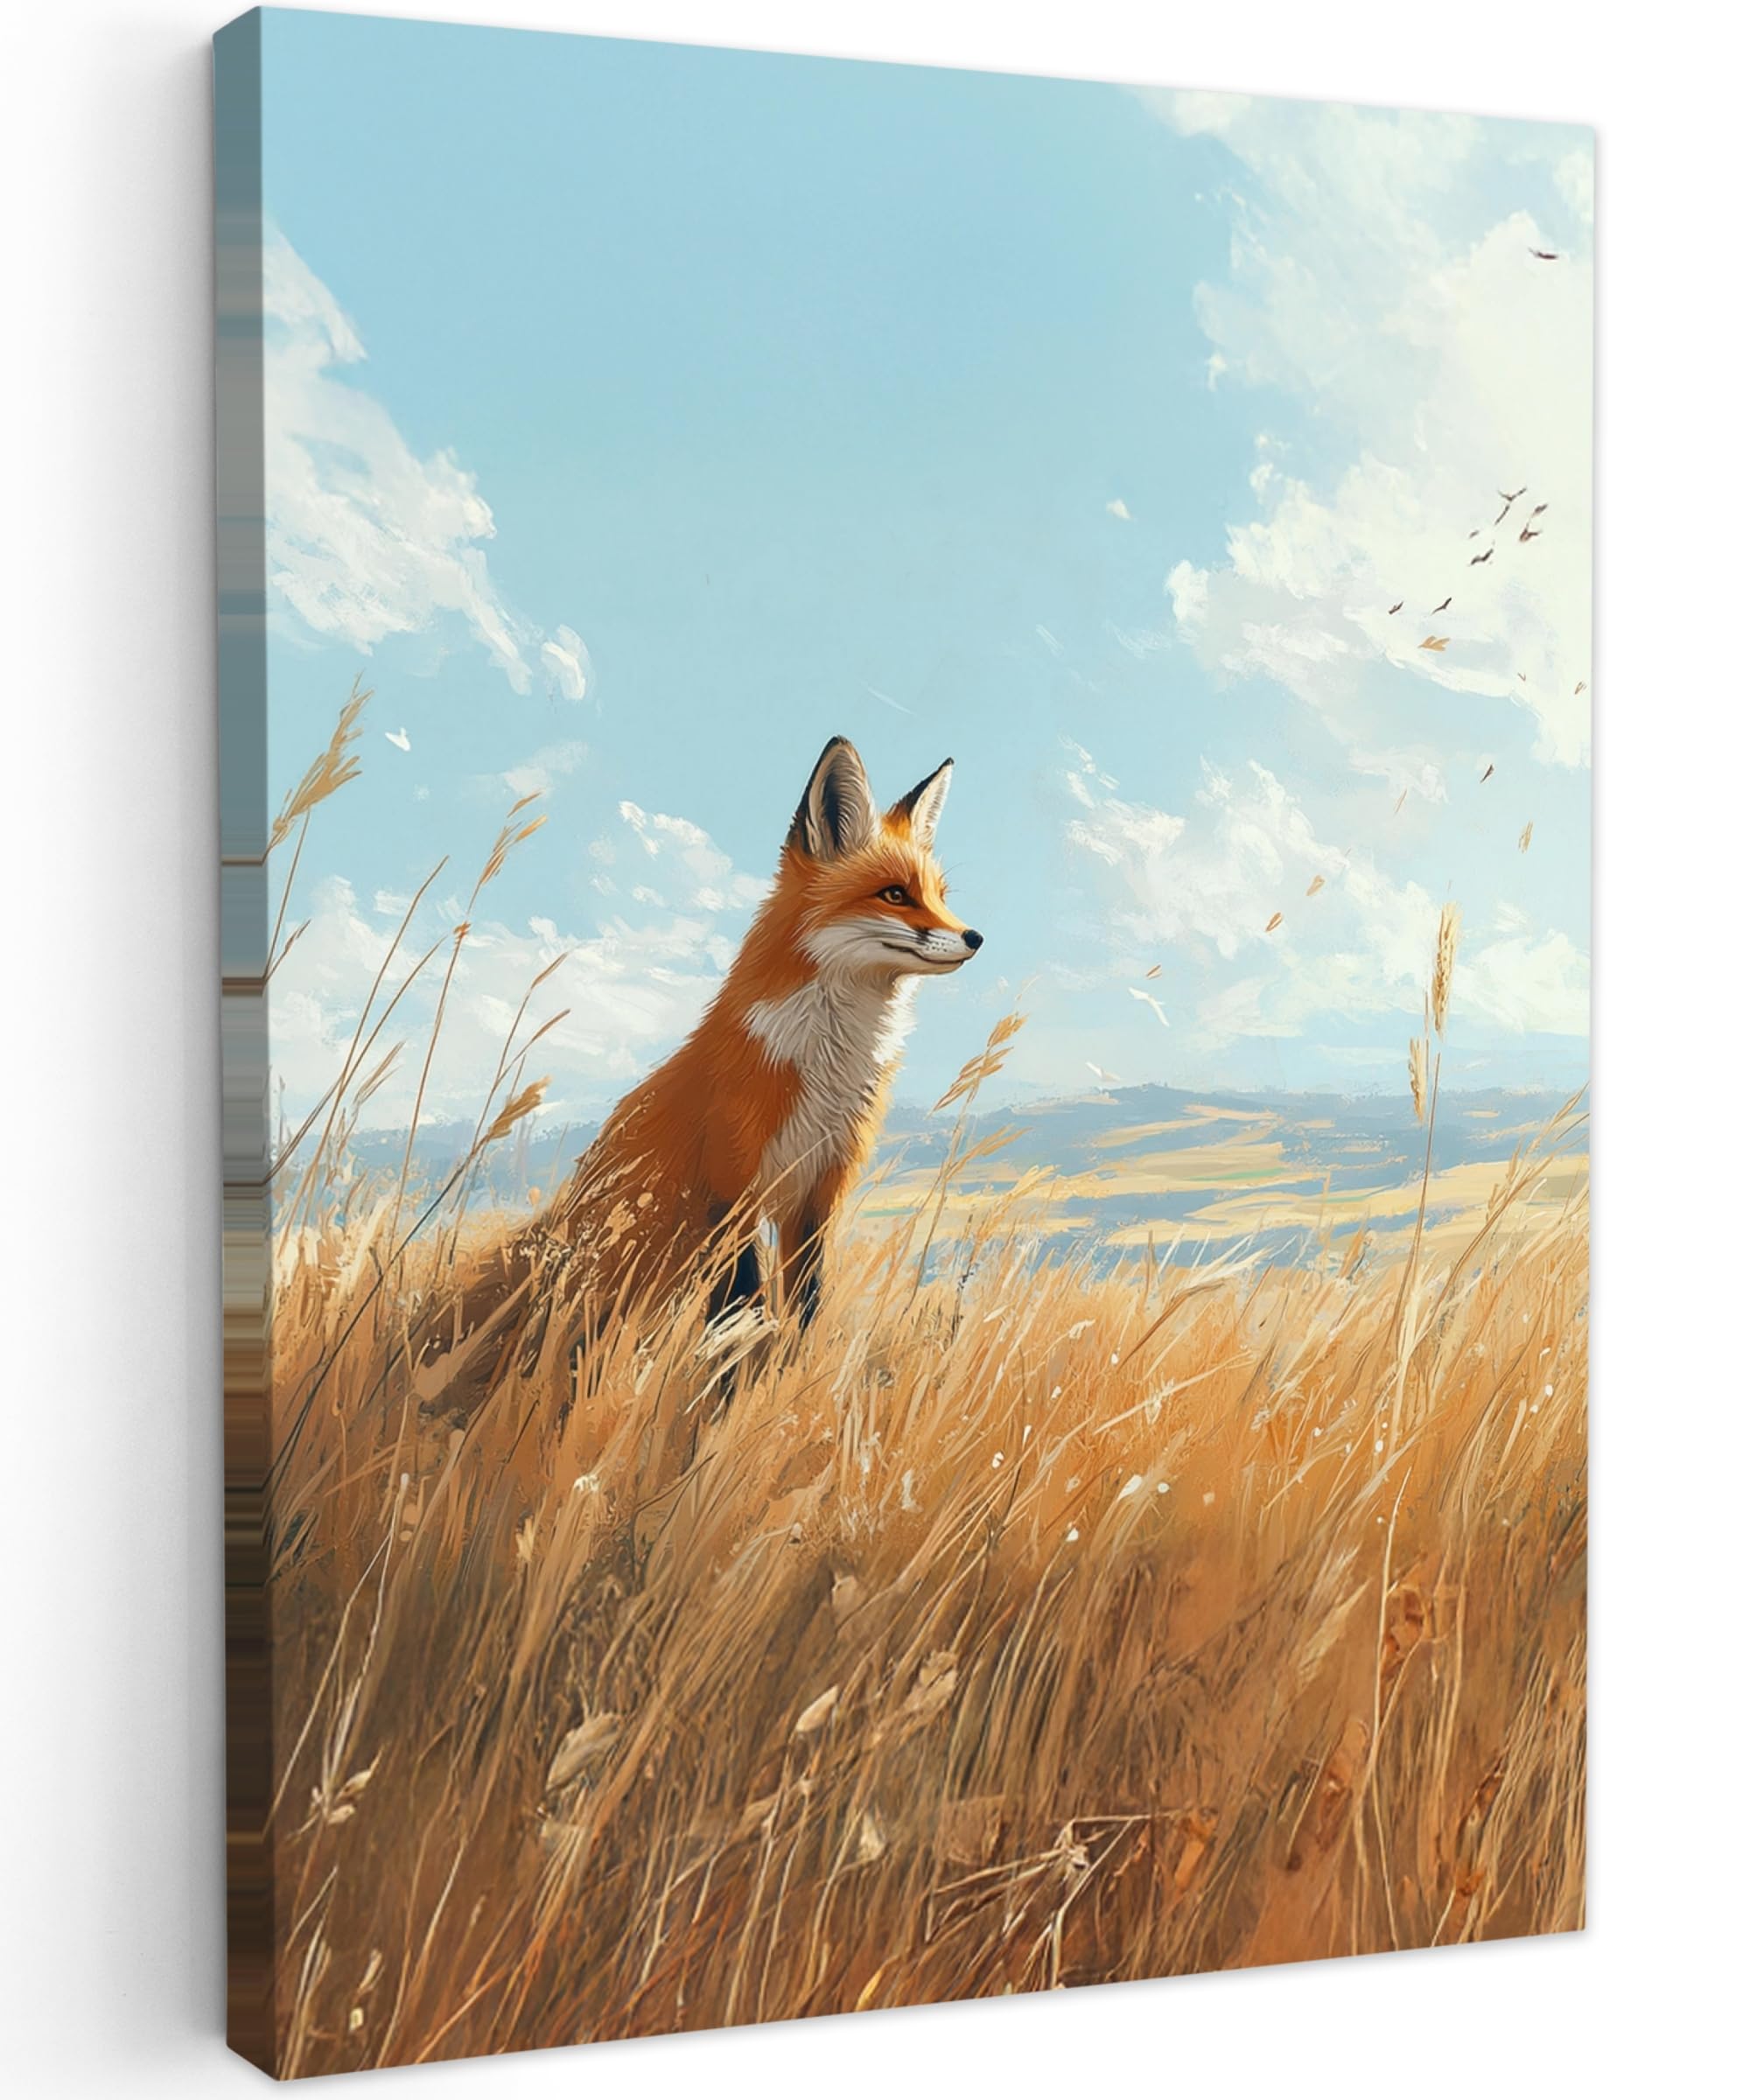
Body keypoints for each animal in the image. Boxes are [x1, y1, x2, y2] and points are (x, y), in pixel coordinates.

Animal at [414, 736, 981, 1411]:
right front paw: (731, 1398)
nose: (974, 936)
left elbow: (803, 1310)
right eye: (895, 894)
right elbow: (738, 1317)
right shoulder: (730, 1191)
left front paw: (788, 1387)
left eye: (942, 894)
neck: (825, 1069)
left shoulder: (816, 1195)